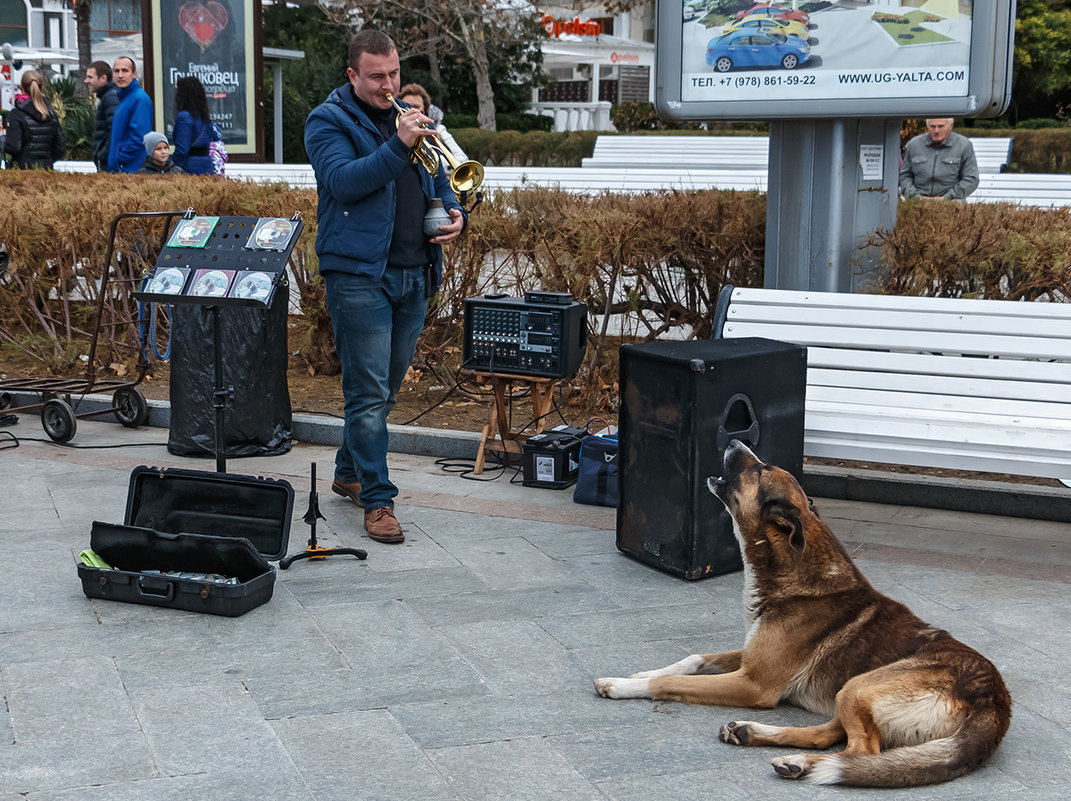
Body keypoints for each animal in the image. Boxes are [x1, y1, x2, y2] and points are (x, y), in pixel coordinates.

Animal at [595, 441, 1011, 783]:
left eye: (761, 469)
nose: (734, 440)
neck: (790, 569)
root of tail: (995, 702)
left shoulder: (754, 684)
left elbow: (669, 683)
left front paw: (622, 685)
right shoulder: (750, 656)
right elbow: (692, 658)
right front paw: (643, 672)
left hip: (858, 686)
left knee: (861, 752)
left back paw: (801, 762)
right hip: (850, 692)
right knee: (828, 736)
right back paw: (760, 739)